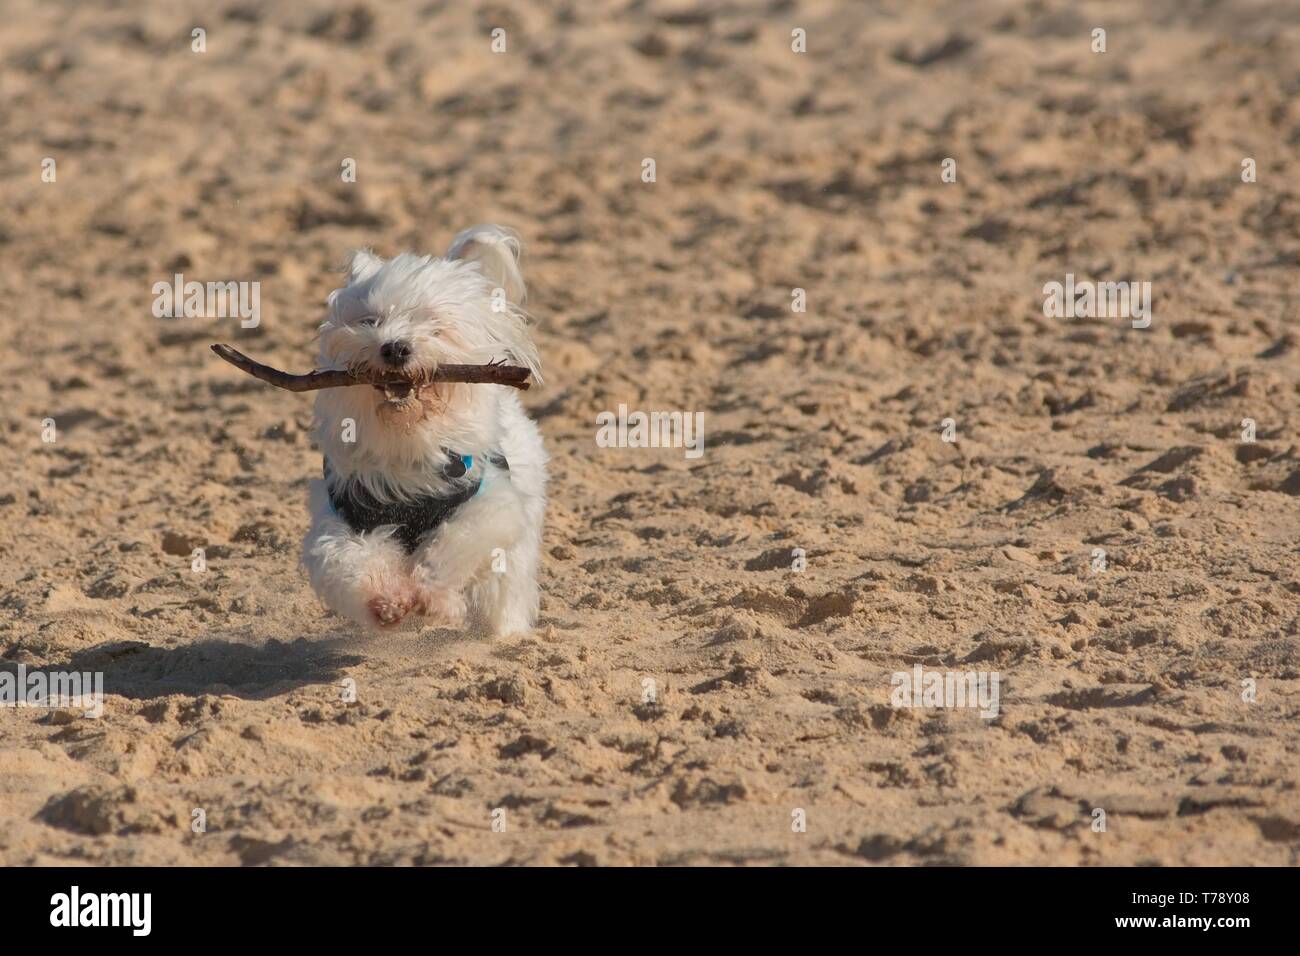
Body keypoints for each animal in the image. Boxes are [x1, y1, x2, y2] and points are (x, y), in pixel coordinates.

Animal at [301, 223, 546, 634]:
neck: (407, 434)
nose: (395, 348)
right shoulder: (348, 515)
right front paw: (385, 601)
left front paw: (432, 598)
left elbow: (450, 547)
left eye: (434, 324)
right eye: (369, 321)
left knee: (504, 590)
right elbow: (350, 559)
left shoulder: (486, 504)